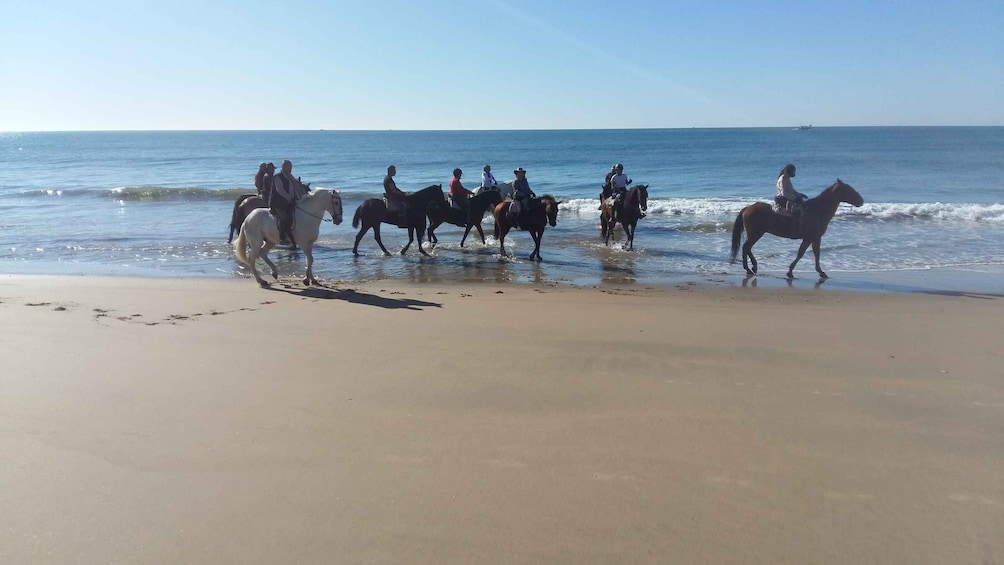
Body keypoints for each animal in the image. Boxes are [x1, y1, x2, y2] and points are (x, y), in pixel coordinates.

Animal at [730, 178, 863, 278]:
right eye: (848, 189)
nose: (861, 201)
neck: (817, 210)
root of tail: (747, 208)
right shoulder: (810, 238)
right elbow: (801, 253)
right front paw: (790, 271)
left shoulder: (815, 238)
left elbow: (816, 254)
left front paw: (820, 271)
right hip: (756, 233)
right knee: (746, 247)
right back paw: (749, 268)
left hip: (755, 233)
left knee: (747, 248)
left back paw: (753, 266)